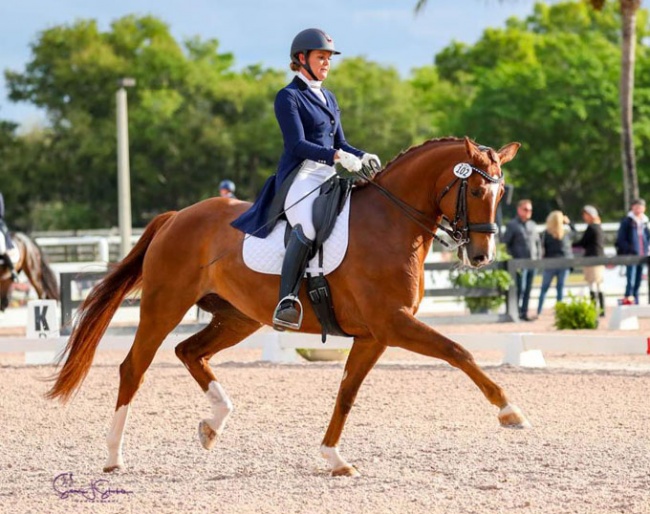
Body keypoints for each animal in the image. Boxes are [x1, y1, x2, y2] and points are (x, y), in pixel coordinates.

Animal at [49, 137, 528, 476]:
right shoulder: (393, 324)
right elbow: (457, 351)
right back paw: (114, 456)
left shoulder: (375, 335)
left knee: (189, 352)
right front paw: (509, 411)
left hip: (237, 317)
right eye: (477, 190)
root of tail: (177, 216)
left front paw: (333, 458)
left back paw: (213, 424)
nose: (482, 256)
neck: (391, 224)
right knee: (135, 367)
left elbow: (347, 392)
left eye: (502, 193)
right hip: (164, 305)